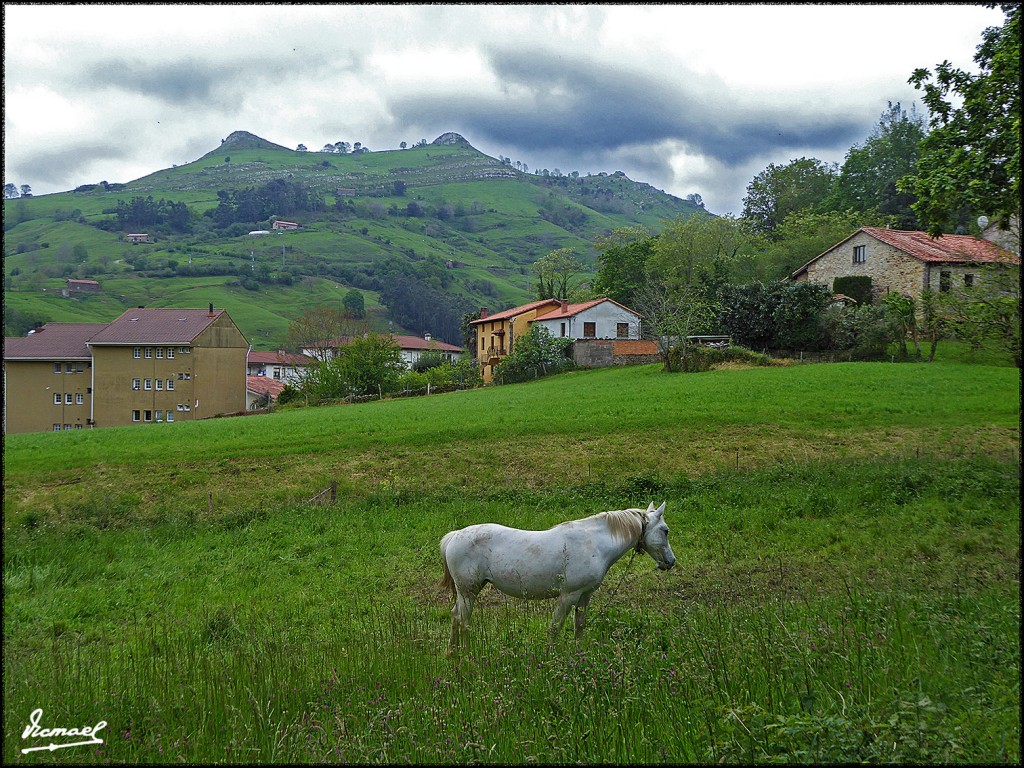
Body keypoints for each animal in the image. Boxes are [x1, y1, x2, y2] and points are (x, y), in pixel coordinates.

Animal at [438, 501, 671, 651]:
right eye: (666, 530)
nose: (670, 561)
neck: (594, 544)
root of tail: (454, 536)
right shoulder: (568, 595)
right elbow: (554, 628)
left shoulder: (585, 595)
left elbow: (579, 624)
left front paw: (579, 654)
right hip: (468, 592)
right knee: (463, 620)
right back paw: (467, 654)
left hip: (467, 592)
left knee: (455, 616)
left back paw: (452, 653)